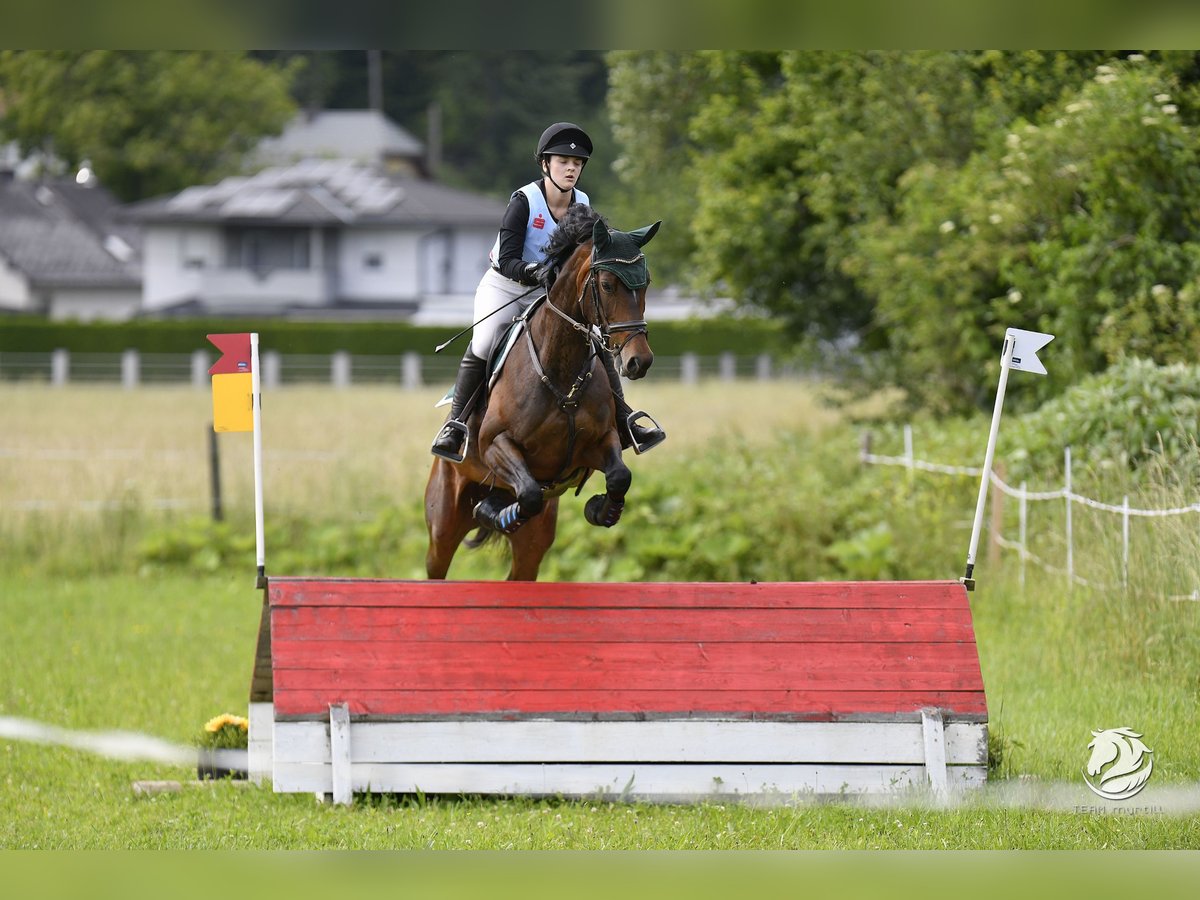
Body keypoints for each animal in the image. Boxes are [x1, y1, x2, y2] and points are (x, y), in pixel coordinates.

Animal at [424, 207, 667, 580]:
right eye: (607, 285)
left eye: (647, 283)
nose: (639, 361)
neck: (560, 373)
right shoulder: (494, 444)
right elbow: (528, 493)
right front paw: (497, 513)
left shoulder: (601, 441)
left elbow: (619, 476)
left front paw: (601, 511)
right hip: (443, 525)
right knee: (438, 563)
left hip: (533, 542)